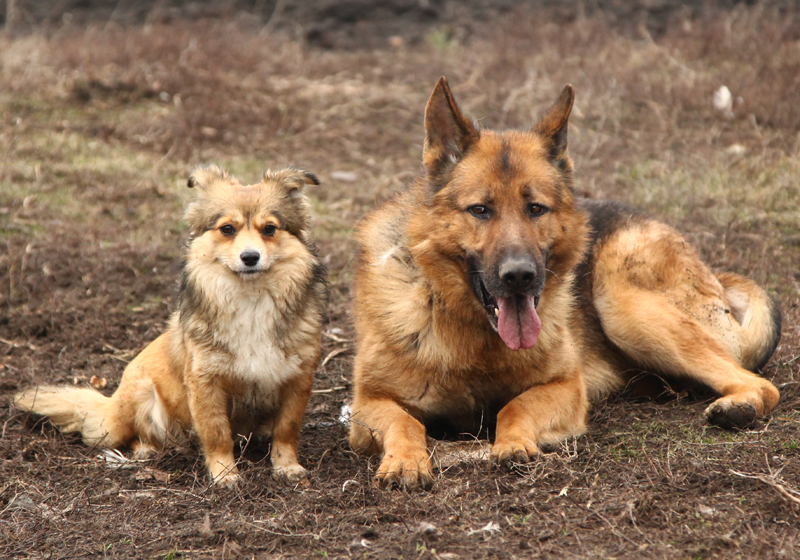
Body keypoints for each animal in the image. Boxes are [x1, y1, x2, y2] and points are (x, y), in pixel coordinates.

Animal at [14, 165, 324, 486]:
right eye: (227, 229)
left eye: (270, 229)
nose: (250, 257)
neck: (251, 298)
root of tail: (110, 405)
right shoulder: (205, 382)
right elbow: (217, 434)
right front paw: (225, 474)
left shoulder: (298, 379)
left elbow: (286, 430)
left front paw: (287, 466)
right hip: (143, 394)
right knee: (138, 435)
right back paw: (148, 450)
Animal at [350, 76, 780, 488]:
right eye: (480, 210)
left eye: (535, 209)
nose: (520, 276)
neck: (474, 336)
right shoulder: (366, 404)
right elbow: (407, 421)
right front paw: (406, 460)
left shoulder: (567, 388)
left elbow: (515, 405)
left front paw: (513, 443)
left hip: (626, 308)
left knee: (759, 383)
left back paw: (738, 407)